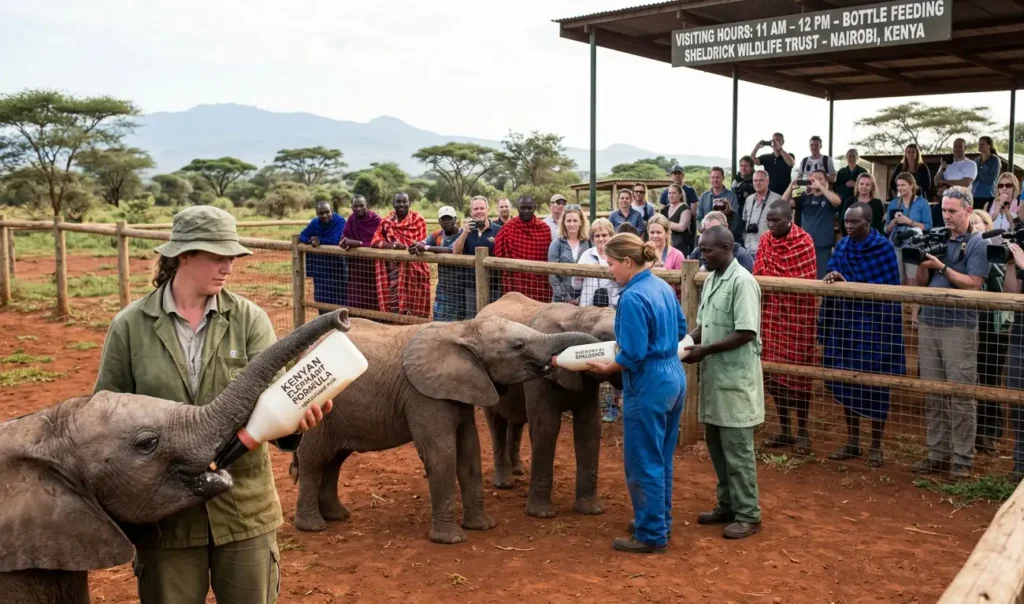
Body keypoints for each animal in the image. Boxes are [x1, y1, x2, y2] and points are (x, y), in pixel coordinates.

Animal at [290, 315, 598, 544]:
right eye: (519, 346)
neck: (462, 329)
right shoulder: (423, 394)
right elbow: (442, 452)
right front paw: (451, 540)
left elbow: (470, 450)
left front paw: (483, 526)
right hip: (316, 411)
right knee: (314, 461)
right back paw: (313, 526)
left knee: (334, 461)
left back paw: (337, 516)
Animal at [476, 292, 618, 519]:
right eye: (604, 337)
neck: (579, 314)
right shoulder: (538, 378)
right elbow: (546, 427)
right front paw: (541, 514)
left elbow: (589, 427)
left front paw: (592, 511)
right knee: (497, 424)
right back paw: (504, 483)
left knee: (518, 421)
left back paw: (518, 471)